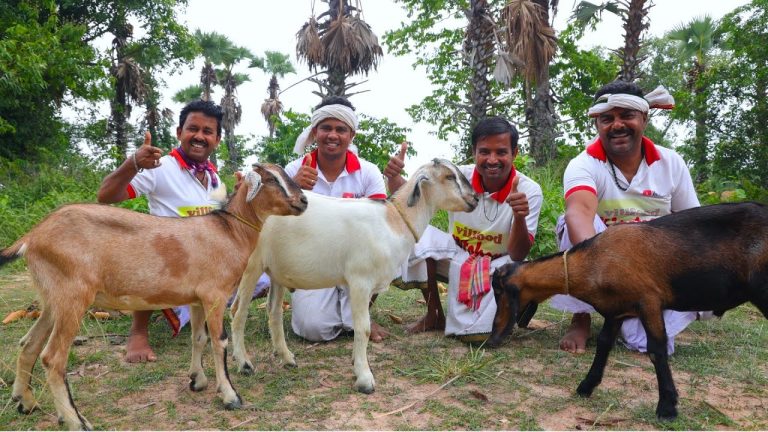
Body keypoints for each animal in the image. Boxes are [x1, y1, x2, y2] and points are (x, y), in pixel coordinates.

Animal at [1, 164, 307, 431]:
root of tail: (32, 236)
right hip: (73, 297)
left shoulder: (196, 299)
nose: (303, 201)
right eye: (271, 179)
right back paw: (76, 421)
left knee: (28, 344)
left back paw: (25, 402)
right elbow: (219, 341)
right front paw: (230, 396)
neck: (229, 232)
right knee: (52, 358)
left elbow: (199, 338)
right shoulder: (215, 295)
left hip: (53, 300)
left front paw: (197, 381)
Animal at [229, 158, 479, 394]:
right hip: (251, 267)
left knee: (273, 311)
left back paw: (287, 358)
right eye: (449, 176)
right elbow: (363, 328)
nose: (475, 199)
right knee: (238, 311)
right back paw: (244, 364)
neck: (393, 221)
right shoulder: (360, 280)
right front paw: (365, 379)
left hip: (277, 270)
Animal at [488, 201, 768, 420]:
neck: (593, 262)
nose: (491, 338)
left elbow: (656, 350)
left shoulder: (649, 301)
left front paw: (667, 408)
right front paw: (586, 386)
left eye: (499, 291)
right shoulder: (616, 311)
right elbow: (603, 344)